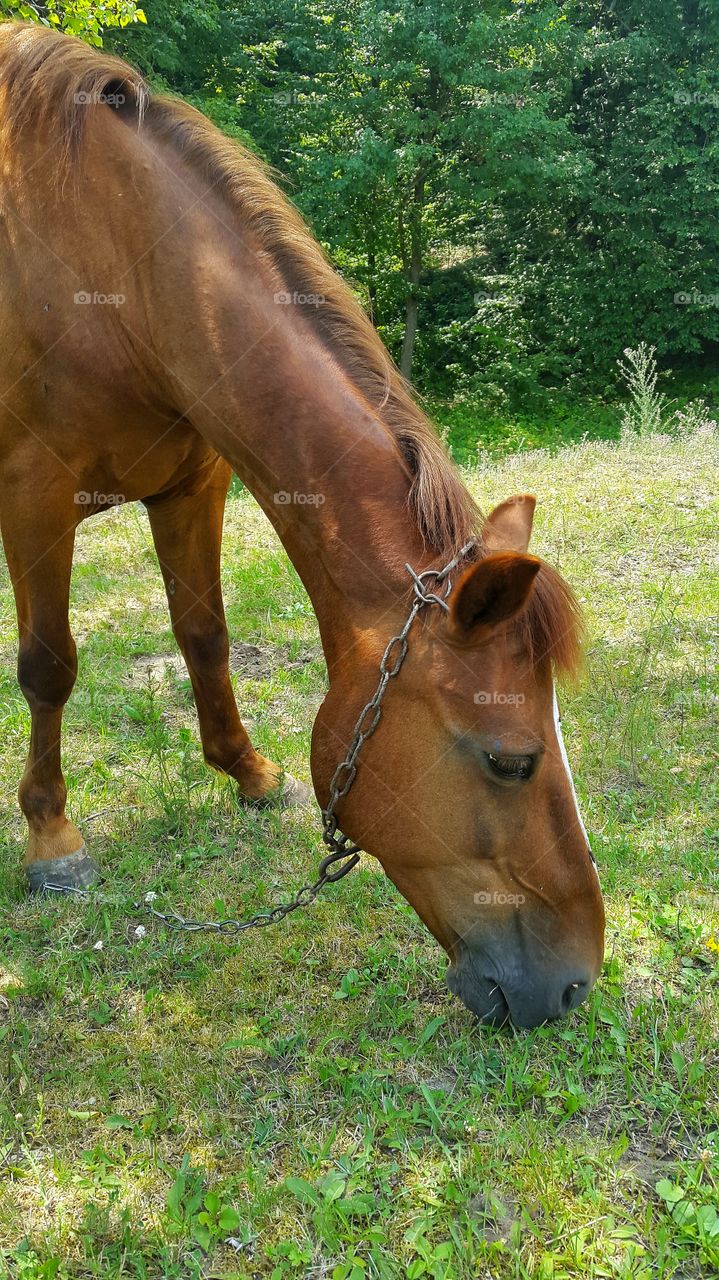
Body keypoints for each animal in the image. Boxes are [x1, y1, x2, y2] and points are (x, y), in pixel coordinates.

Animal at [0, 22, 604, 1027]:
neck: (108, 256)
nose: (571, 985)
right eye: (512, 762)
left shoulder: (192, 484)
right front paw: (52, 837)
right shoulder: (35, 494)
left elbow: (204, 634)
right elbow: (49, 665)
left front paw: (246, 772)